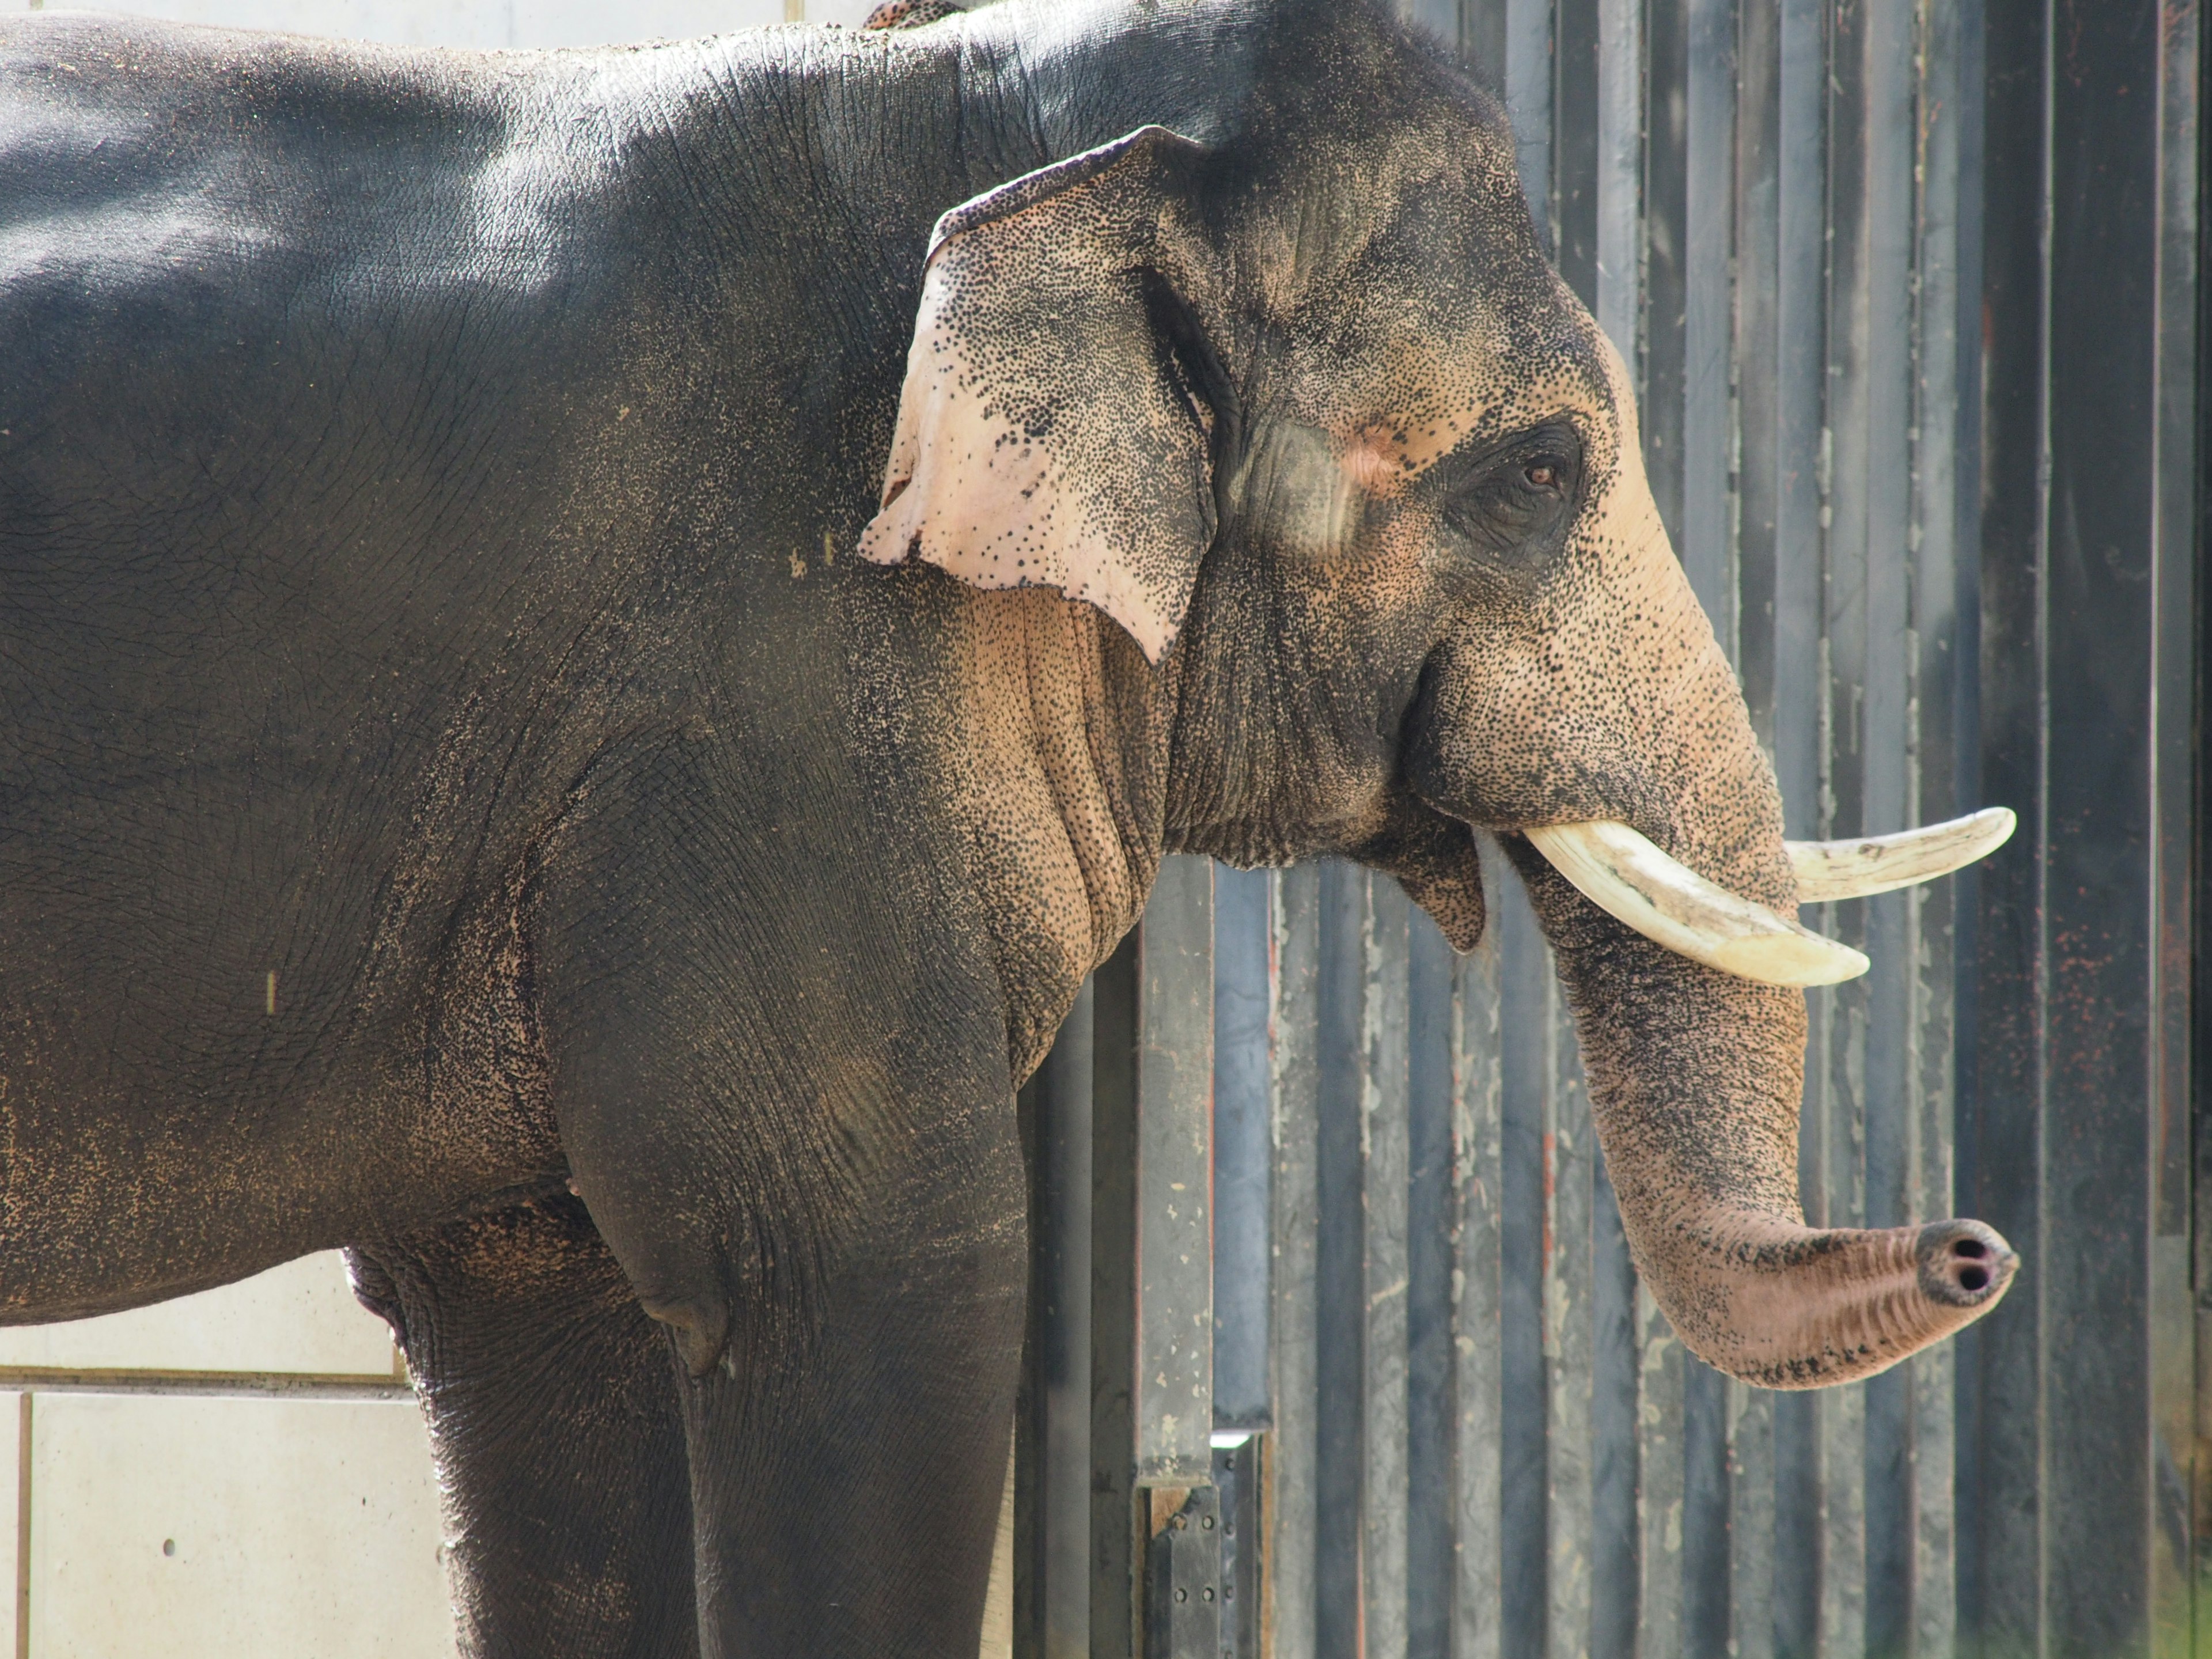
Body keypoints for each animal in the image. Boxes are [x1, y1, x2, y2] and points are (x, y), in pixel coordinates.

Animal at [0, 0, 2017, 1654]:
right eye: (1537, 475)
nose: (1974, 1250)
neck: (957, 109)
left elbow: (538, 1325)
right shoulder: (759, 723)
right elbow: (878, 1290)